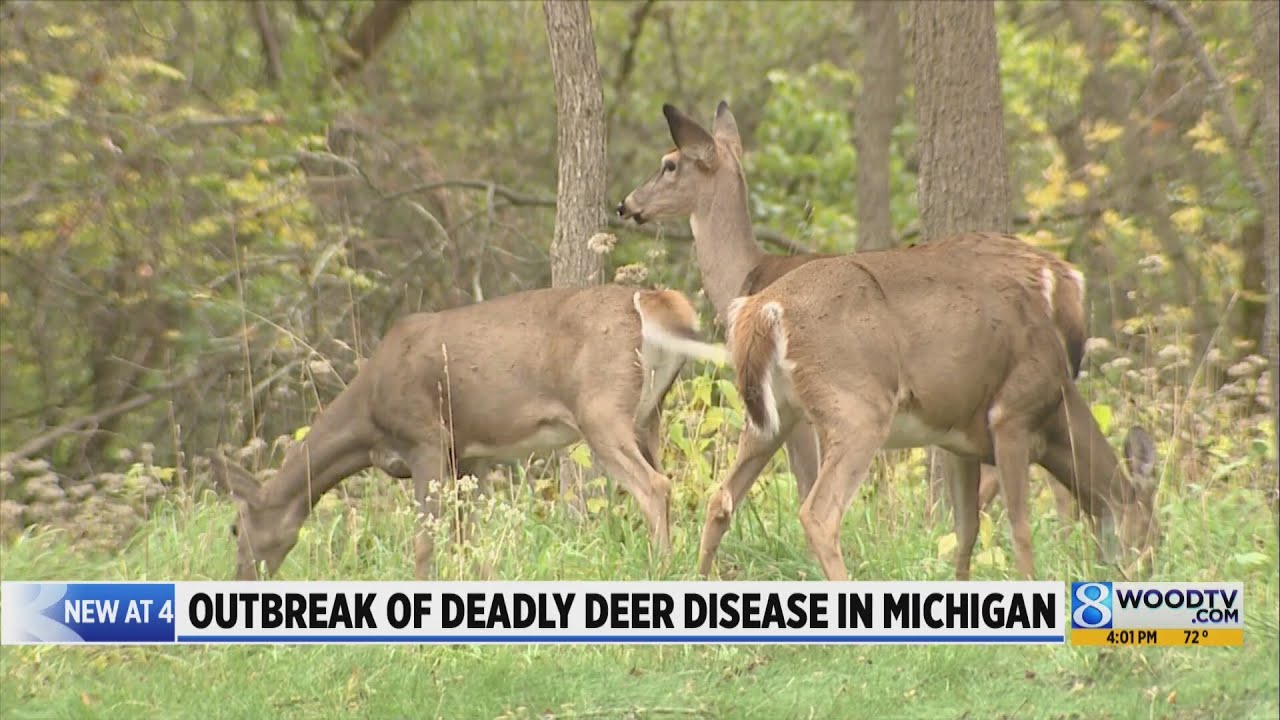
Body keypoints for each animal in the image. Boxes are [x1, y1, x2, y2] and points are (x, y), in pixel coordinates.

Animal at [211, 284, 725, 580]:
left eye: (235, 527)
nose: (242, 581)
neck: (368, 418)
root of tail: (657, 305)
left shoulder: (427, 438)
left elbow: (424, 540)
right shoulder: (470, 457)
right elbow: (468, 538)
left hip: (601, 408)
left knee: (654, 485)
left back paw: (660, 569)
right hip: (649, 413)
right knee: (665, 477)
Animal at [707, 241, 1161, 580]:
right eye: (1151, 530)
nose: (1146, 570)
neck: (1055, 416)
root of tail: (764, 309)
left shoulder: (959, 442)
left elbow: (966, 530)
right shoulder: (1010, 418)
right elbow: (1020, 526)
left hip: (774, 416)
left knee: (720, 497)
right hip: (857, 408)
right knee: (819, 514)